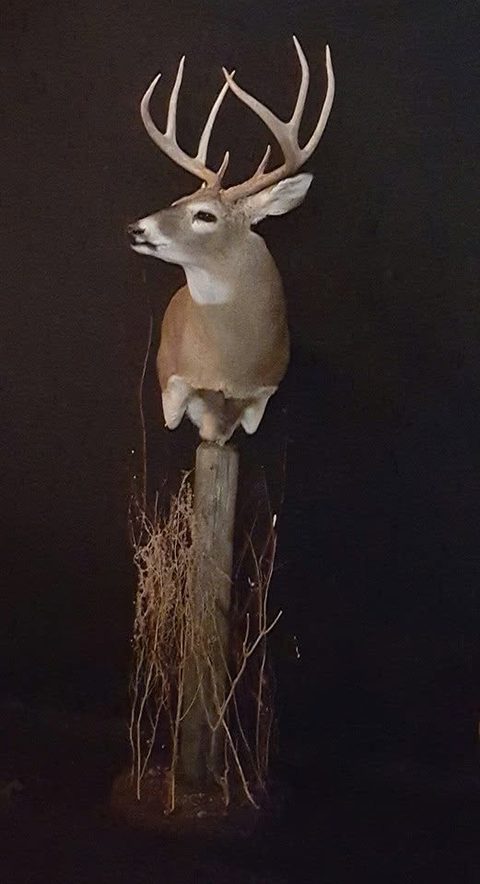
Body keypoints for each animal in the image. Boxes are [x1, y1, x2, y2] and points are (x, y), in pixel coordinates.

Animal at [128, 36, 334, 444]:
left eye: (205, 215)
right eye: (177, 201)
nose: (136, 228)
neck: (230, 364)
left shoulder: (261, 393)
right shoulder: (175, 383)